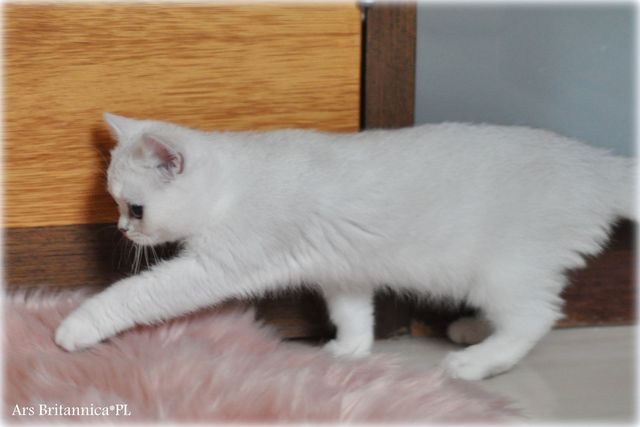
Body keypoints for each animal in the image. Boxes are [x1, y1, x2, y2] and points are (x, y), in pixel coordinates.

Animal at [55, 113, 635, 380]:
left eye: (135, 209)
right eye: (116, 205)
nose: (122, 230)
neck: (235, 183)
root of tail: (597, 164)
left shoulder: (215, 266)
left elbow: (135, 294)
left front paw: (77, 327)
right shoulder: (342, 268)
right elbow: (352, 312)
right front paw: (350, 351)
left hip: (502, 271)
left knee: (536, 317)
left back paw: (476, 361)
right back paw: (471, 330)